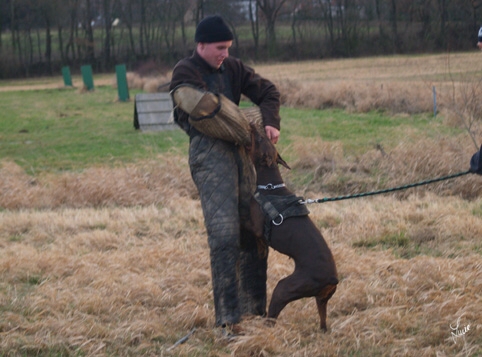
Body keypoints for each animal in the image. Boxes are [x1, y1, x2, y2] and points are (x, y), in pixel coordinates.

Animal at [245, 125, 338, 330]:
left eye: (260, 139)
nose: (254, 126)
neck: (270, 186)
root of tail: (332, 280)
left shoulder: (256, 226)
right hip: (321, 300)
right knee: (323, 320)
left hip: (285, 288)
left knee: (272, 316)